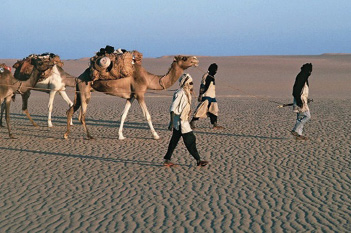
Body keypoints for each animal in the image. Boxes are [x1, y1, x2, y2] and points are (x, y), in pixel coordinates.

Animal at [63, 54, 199, 140]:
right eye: (184, 57)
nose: (196, 59)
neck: (148, 78)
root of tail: (79, 77)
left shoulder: (131, 96)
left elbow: (123, 115)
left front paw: (121, 136)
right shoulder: (139, 94)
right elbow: (147, 116)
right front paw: (156, 135)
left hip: (79, 91)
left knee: (70, 110)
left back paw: (66, 135)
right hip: (85, 90)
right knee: (82, 115)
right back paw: (89, 136)